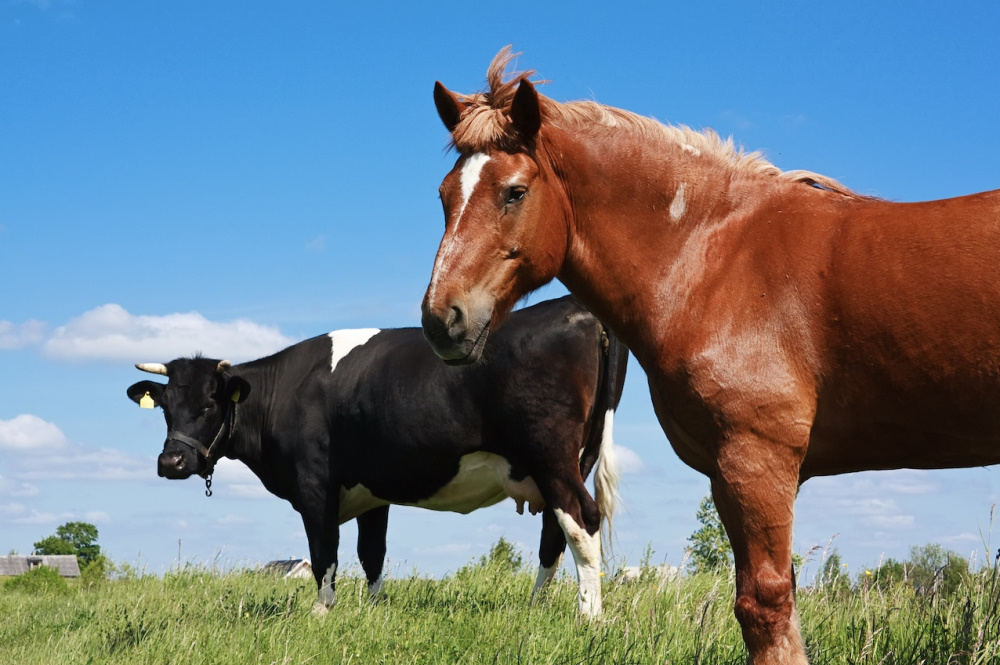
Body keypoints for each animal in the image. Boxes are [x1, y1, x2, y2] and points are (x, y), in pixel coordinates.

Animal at [125, 298, 624, 616]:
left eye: (210, 404)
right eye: (166, 406)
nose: (171, 464)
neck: (284, 391)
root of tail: (580, 309)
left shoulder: (315, 487)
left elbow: (324, 552)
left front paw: (322, 612)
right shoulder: (372, 491)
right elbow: (372, 553)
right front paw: (375, 609)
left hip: (552, 456)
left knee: (582, 522)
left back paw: (588, 617)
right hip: (570, 461)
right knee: (555, 536)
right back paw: (535, 608)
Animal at [418, 46, 1000, 664]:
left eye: (515, 192)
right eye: (444, 195)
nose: (441, 320)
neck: (717, 258)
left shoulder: (755, 460)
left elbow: (764, 606)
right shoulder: (734, 475)